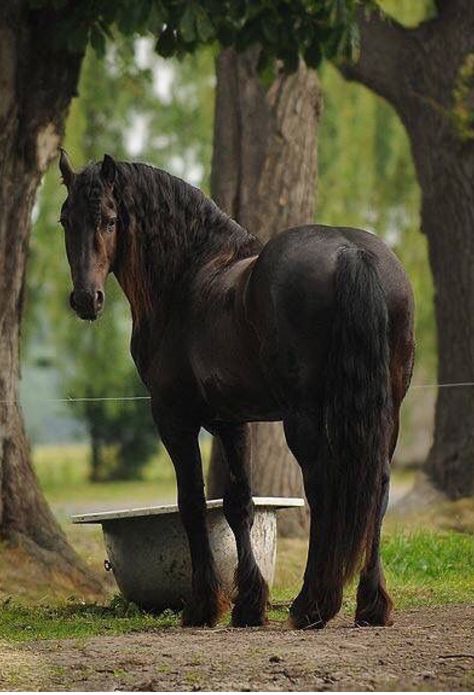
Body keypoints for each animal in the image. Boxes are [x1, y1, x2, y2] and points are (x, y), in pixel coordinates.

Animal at [59, 152, 414, 632]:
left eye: (110, 220)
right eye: (65, 220)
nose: (85, 299)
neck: (188, 277)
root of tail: (350, 252)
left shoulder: (173, 418)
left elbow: (192, 504)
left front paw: (203, 606)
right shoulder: (233, 421)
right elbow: (237, 504)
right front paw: (248, 604)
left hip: (303, 418)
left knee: (322, 488)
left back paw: (312, 604)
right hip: (387, 411)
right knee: (378, 483)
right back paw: (371, 605)